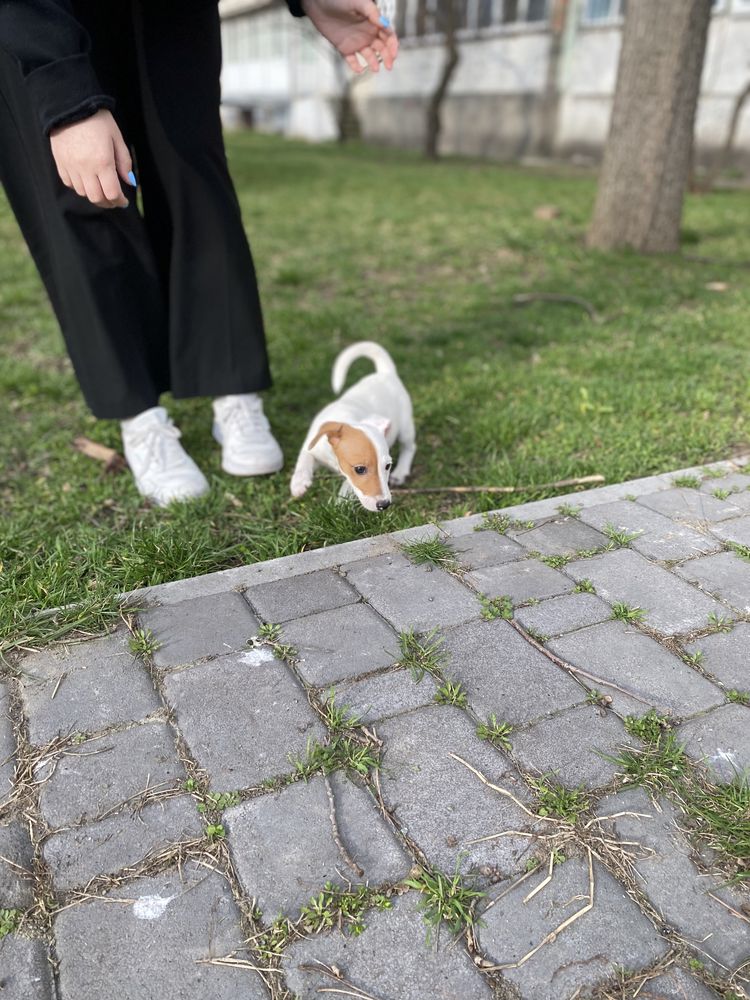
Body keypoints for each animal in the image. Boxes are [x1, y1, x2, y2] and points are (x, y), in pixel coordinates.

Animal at [290, 344, 418, 516]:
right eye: (360, 469)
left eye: (387, 466)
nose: (384, 504)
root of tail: (385, 373)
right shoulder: (313, 445)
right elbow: (304, 458)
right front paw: (299, 483)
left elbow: (348, 485)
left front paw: (339, 503)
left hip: (405, 426)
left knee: (409, 447)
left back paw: (400, 472)